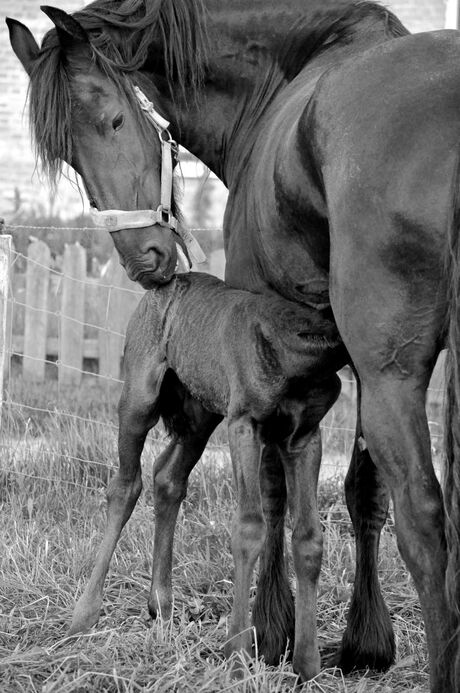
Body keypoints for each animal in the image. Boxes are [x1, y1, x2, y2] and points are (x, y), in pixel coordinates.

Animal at [70, 272, 344, 680]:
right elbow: (249, 528)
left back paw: (161, 605)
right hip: (139, 396)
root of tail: (165, 283)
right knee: (125, 486)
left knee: (168, 478)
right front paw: (237, 658)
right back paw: (84, 616)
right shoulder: (244, 423)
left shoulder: (306, 436)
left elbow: (310, 537)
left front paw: (307, 665)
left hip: (200, 414)